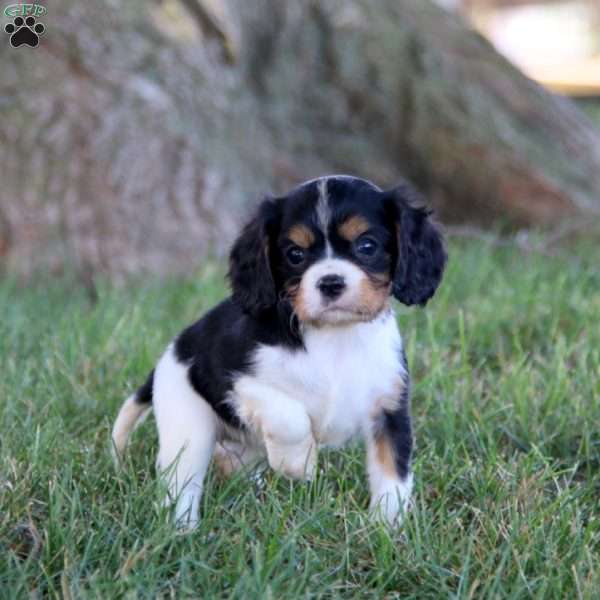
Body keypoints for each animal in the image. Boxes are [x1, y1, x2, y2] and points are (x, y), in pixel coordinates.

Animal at [111, 176, 446, 528]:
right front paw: (298, 463)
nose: (330, 282)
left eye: (367, 246)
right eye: (295, 254)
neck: (334, 336)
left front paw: (387, 526)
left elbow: (392, 473)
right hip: (187, 427)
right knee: (181, 485)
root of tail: (172, 351)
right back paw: (182, 531)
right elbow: (289, 414)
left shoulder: (389, 409)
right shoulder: (227, 376)